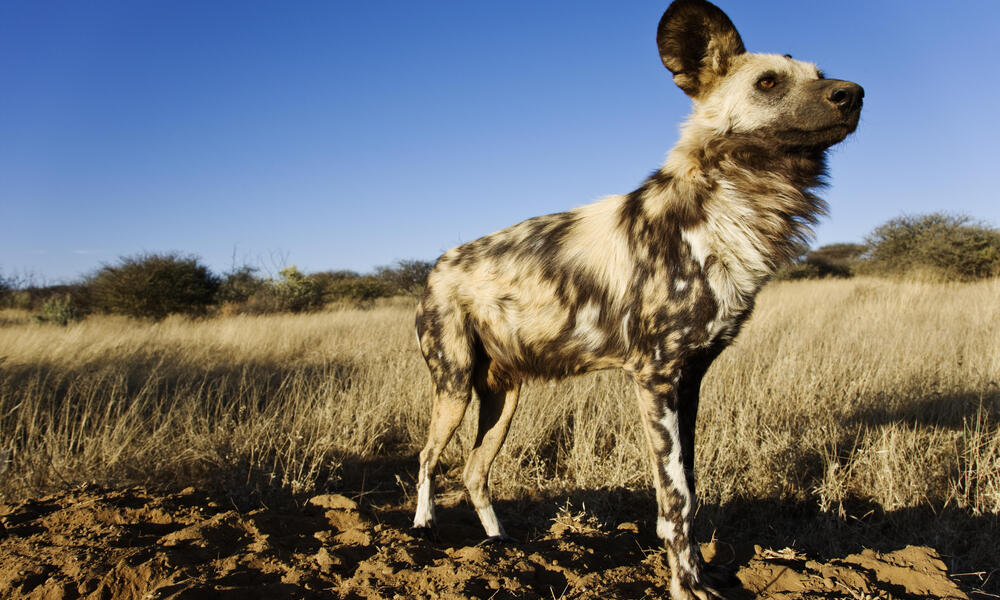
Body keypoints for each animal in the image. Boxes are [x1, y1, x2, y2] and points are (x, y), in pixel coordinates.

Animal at [412, 1, 860, 596]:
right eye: (768, 82)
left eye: (819, 74)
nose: (854, 93)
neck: (734, 210)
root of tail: (437, 264)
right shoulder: (655, 377)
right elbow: (675, 500)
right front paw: (684, 587)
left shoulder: (689, 381)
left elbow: (691, 492)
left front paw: (699, 575)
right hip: (455, 387)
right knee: (427, 457)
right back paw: (424, 533)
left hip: (504, 398)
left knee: (474, 471)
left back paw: (499, 548)